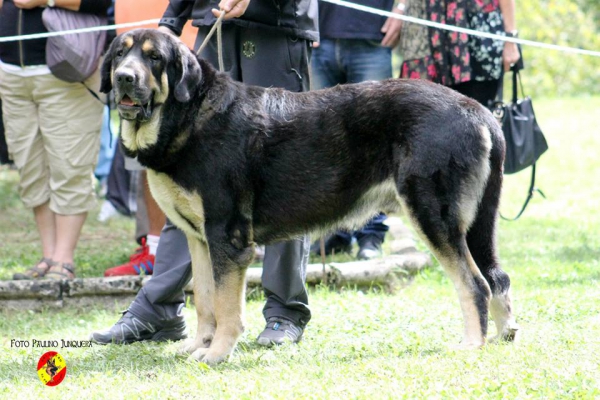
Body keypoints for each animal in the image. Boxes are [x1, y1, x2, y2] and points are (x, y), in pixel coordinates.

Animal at [101, 29, 516, 364]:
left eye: (154, 58)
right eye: (120, 54)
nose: (124, 78)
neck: (187, 115)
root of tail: (479, 112)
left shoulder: (229, 239)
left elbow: (226, 307)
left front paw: (217, 353)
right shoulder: (198, 238)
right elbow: (204, 299)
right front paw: (198, 345)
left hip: (433, 215)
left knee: (474, 284)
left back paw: (472, 344)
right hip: (474, 225)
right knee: (497, 277)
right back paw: (503, 336)